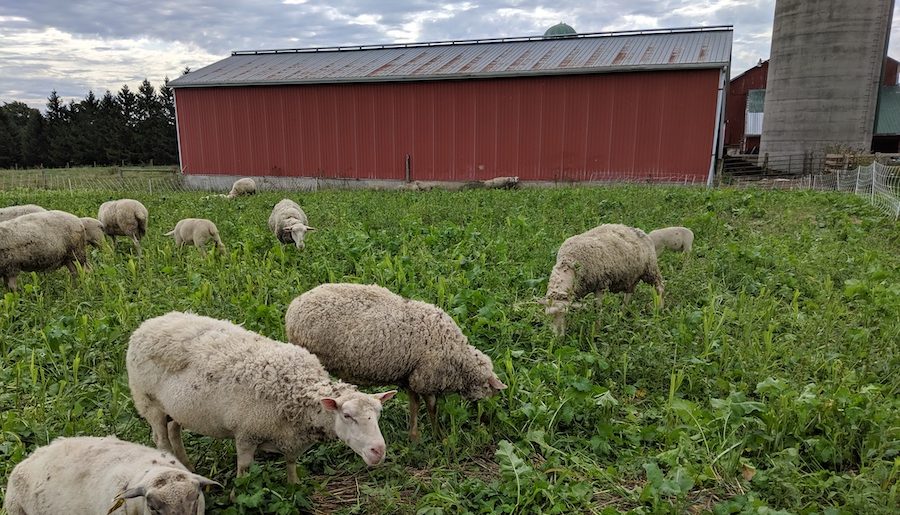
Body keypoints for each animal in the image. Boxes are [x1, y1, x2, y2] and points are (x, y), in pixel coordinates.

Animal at [127, 312, 398, 486]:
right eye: (347, 415)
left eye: (378, 415)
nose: (378, 451)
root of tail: (147, 325)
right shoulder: (247, 434)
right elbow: (244, 469)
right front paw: (239, 495)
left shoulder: (291, 438)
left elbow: (291, 463)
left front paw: (294, 487)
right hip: (148, 403)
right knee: (161, 440)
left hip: (175, 407)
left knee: (174, 431)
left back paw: (187, 466)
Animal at [284, 284, 506, 442]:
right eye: (492, 391)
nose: (486, 418)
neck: (459, 358)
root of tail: (292, 308)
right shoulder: (425, 378)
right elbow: (432, 407)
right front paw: (438, 435)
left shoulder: (410, 377)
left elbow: (415, 405)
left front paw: (414, 436)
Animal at [536, 224, 664, 336]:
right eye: (549, 316)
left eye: (565, 314)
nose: (557, 337)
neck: (570, 261)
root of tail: (638, 230)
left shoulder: (600, 284)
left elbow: (597, 310)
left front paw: (596, 331)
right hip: (633, 275)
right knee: (628, 294)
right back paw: (622, 314)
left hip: (650, 269)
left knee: (660, 287)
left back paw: (659, 309)